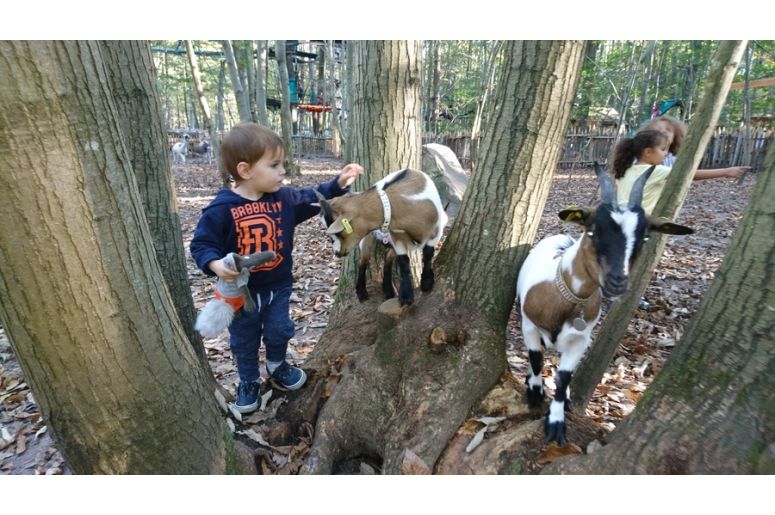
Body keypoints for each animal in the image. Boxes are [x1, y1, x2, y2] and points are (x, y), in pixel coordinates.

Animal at [316, 168, 448, 306]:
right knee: (363, 261)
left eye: (338, 232)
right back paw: (362, 292)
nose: (336, 253)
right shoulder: (396, 237)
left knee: (388, 259)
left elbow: (428, 253)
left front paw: (426, 282)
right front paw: (406, 295)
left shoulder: (437, 230)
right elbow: (403, 261)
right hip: (368, 238)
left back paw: (388, 290)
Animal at [516, 163, 693, 445]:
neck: (565, 300)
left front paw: (556, 421)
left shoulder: (580, 339)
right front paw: (535, 392)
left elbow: (564, 377)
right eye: (593, 230)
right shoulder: (529, 326)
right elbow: (535, 360)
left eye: (644, 238)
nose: (617, 282)